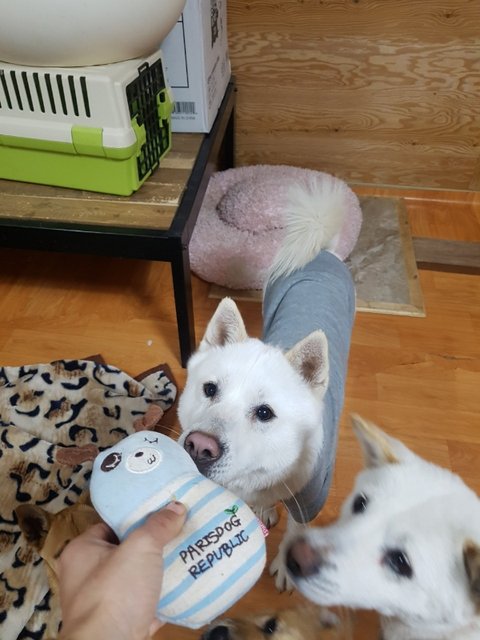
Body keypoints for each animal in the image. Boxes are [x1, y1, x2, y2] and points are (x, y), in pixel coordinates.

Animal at [178, 176, 358, 589]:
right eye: (209, 389)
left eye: (264, 413)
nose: (199, 447)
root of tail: (321, 252)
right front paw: (262, 509)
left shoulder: (310, 499)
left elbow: (297, 528)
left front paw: (287, 568)